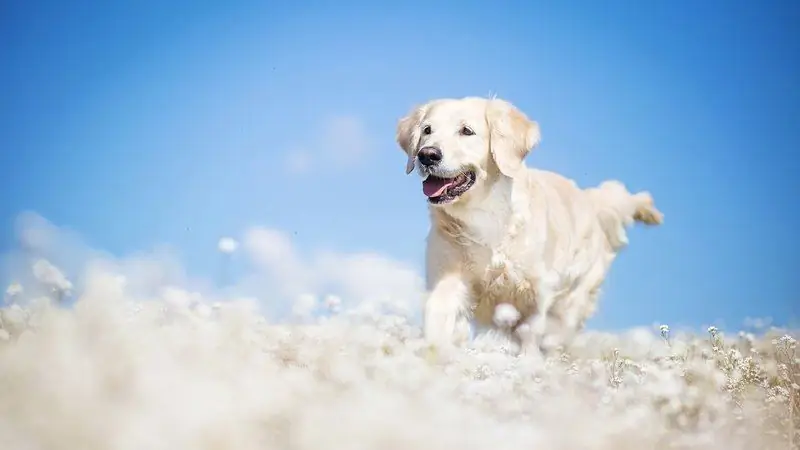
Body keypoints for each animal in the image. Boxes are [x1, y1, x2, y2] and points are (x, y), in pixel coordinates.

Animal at [396, 96, 664, 354]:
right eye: (427, 130)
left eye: (466, 131)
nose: (427, 155)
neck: (486, 215)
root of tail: (590, 199)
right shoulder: (447, 278)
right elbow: (438, 321)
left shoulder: (537, 292)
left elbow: (531, 333)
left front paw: (528, 363)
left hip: (572, 300)